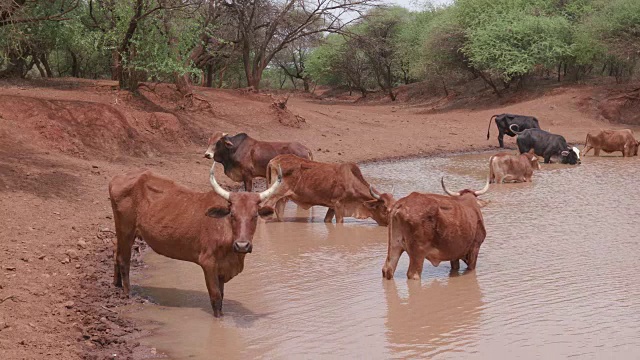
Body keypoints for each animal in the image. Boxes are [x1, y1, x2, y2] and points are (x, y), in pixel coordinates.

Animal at [107, 163, 280, 318]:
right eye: (232, 214)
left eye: (255, 215)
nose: (242, 245)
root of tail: (118, 177)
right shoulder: (208, 263)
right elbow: (216, 298)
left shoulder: (222, 270)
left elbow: (222, 296)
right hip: (126, 229)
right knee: (123, 259)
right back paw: (128, 293)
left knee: (116, 251)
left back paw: (117, 284)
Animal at [262, 154, 392, 225]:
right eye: (385, 209)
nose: (389, 225)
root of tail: (273, 160)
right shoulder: (339, 205)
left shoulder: (332, 206)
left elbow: (327, 220)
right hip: (275, 193)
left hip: (282, 197)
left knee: (279, 212)